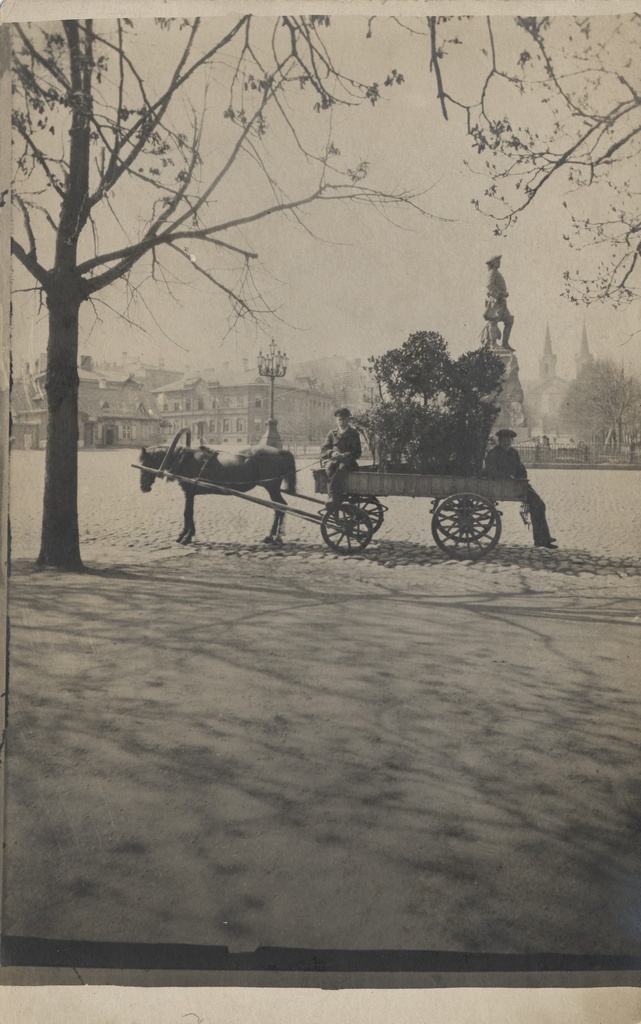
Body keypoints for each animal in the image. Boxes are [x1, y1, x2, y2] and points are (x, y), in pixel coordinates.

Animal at [137, 444, 296, 548]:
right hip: (273, 489)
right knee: (279, 507)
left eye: (147, 463)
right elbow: (189, 512)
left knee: (280, 507)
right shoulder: (190, 493)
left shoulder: (189, 492)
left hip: (272, 488)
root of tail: (281, 451)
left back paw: (276, 536)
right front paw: (187, 534)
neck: (184, 459)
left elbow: (188, 513)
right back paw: (272, 536)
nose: (143, 487)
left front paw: (185, 536)